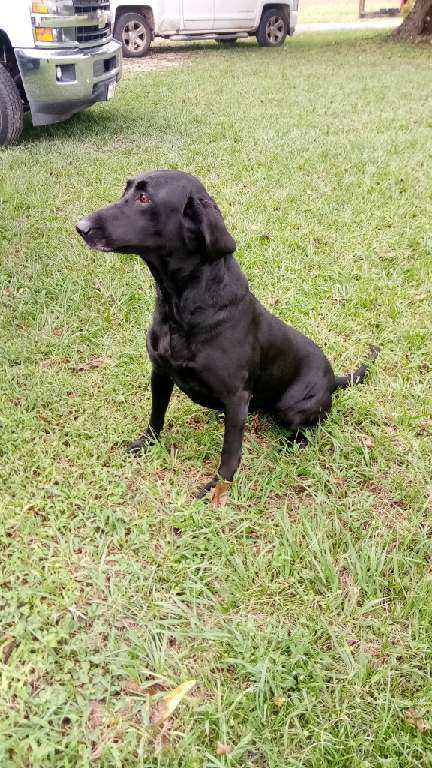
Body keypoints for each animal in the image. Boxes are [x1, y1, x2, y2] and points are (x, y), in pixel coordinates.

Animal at [77, 170, 379, 497]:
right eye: (127, 190)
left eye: (144, 198)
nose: (80, 226)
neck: (180, 306)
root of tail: (334, 380)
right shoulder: (159, 373)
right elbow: (156, 416)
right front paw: (146, 444)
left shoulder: (236, 396)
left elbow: (230, 451)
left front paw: (218, 486)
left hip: (293, 409)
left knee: (308, 428)